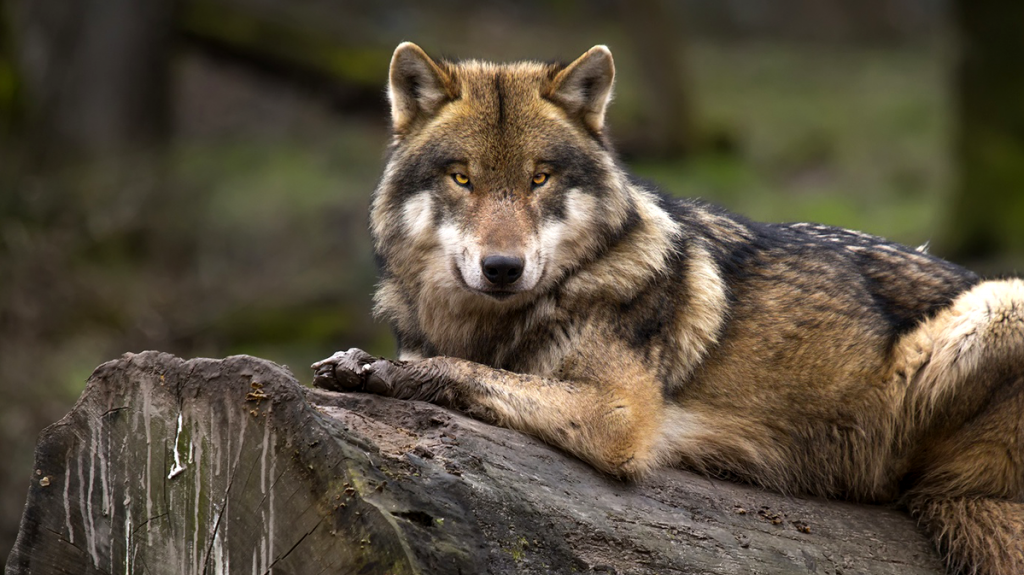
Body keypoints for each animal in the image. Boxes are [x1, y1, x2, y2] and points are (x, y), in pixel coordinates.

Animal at [313, 42, 1024, 568]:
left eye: (540, 178)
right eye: (462, 178)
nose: (503, 268)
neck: (489, 324)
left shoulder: (617, 415)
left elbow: (467, 372)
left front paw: (386, 374)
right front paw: (360, 363)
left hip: (998, 305)